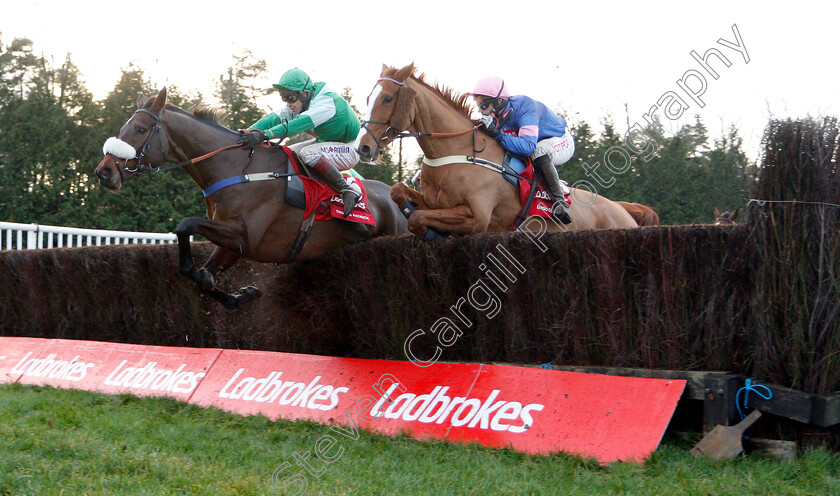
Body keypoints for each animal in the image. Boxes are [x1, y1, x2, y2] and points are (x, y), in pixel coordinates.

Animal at [93, 87, 408, 308]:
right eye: (122, 129)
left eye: (140, 129)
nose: (103, 172)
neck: (235, 168)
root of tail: (397, 199)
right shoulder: (233, 244)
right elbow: (201, 277)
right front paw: (240, 294)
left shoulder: (245, 236)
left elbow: (184, 226)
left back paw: (350, 196)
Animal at [354, 63, 636, 236]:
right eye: (368, 98)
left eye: (387, 98)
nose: (362, 147)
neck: (455, 151)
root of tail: (624, 212)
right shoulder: (435, 203)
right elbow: (399, 192)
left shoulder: (477, 217)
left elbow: (417, 219)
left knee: (541, 153)